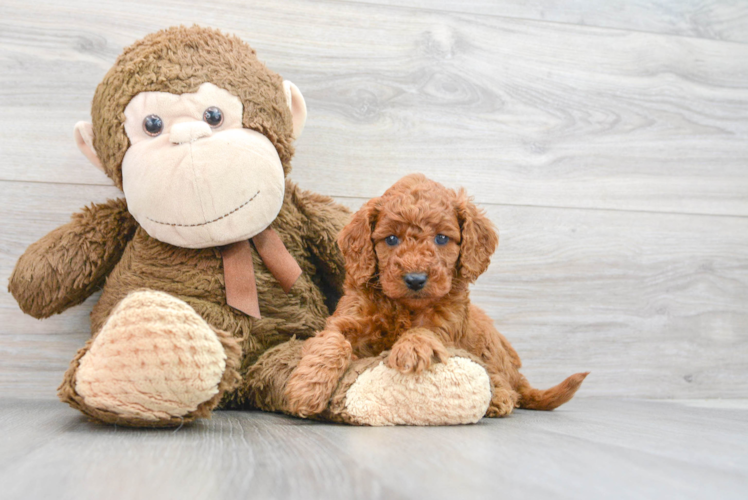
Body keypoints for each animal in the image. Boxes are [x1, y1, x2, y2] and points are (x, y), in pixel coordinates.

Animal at [284, 175, 588, 418]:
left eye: (442, 238)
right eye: (391, 239)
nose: (415, 279)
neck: (404, 308)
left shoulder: (446, 321)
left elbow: (426, 331)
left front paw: (412, 347)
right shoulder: (347, 317)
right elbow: (332, 343)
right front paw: (306, 389)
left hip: (489, 345)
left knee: (505, 383)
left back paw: (499, 398)